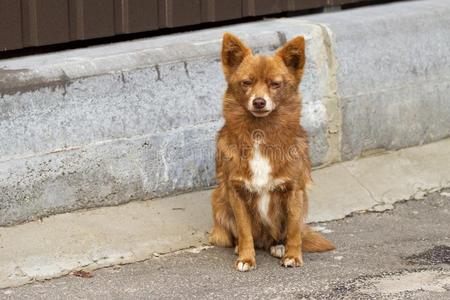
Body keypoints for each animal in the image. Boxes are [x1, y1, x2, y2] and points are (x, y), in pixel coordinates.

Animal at [208, 33, 334, 272]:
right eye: (247, 82)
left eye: (275, 84)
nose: (259, 102)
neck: (260, 132)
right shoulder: (236, 192)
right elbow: (244, 231)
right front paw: (246, 257)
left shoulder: (294, 191)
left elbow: (293, 230)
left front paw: (293, 256)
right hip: (219, 200)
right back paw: (240, 248)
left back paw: (279, 247)